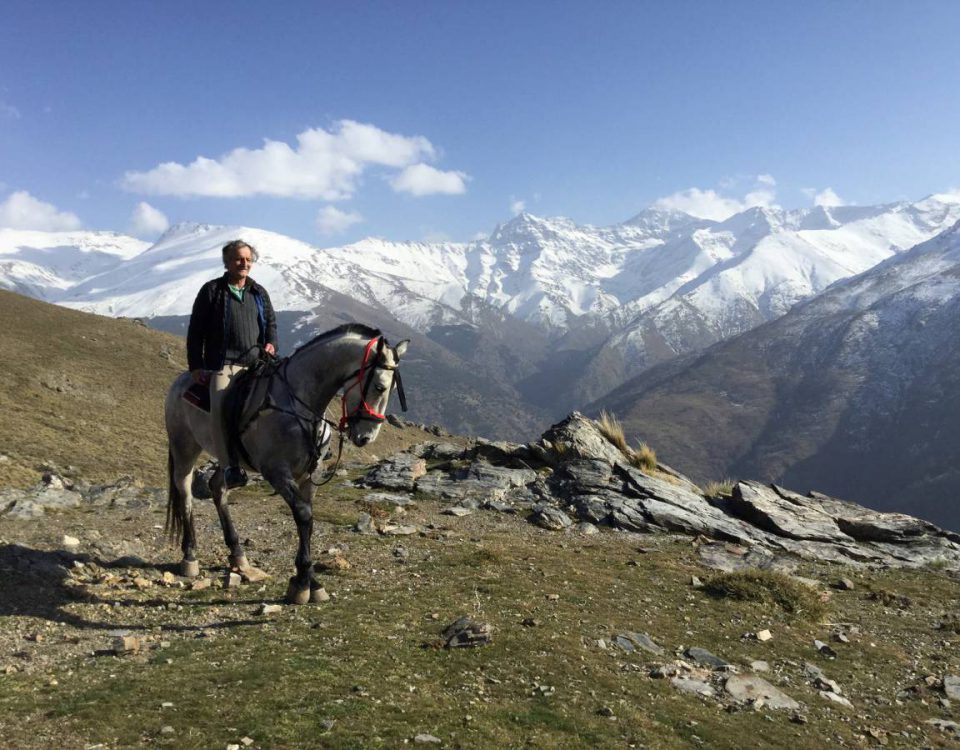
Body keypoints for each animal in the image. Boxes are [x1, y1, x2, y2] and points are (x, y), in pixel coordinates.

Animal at [164, 323, 409, 604]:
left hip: (225, 458)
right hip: (184, 448)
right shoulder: (277, 472)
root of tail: (181, 381)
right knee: (185, 494)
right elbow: (302, 514)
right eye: (379, 387)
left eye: (392, 390)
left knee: (218, 487)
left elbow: (309, 521)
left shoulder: (310, 474)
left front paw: (311, 582)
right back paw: (189, 556)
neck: (299, 406)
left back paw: (237, 554)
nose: (367, 437)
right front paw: (302, 583)